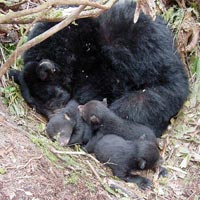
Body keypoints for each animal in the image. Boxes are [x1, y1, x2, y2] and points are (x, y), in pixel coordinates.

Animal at [9, 0, 188, 138]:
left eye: (53, 99)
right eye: (37, 107)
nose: (53, 120)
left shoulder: (97, 61)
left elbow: (100, 88)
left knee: (139, 102)